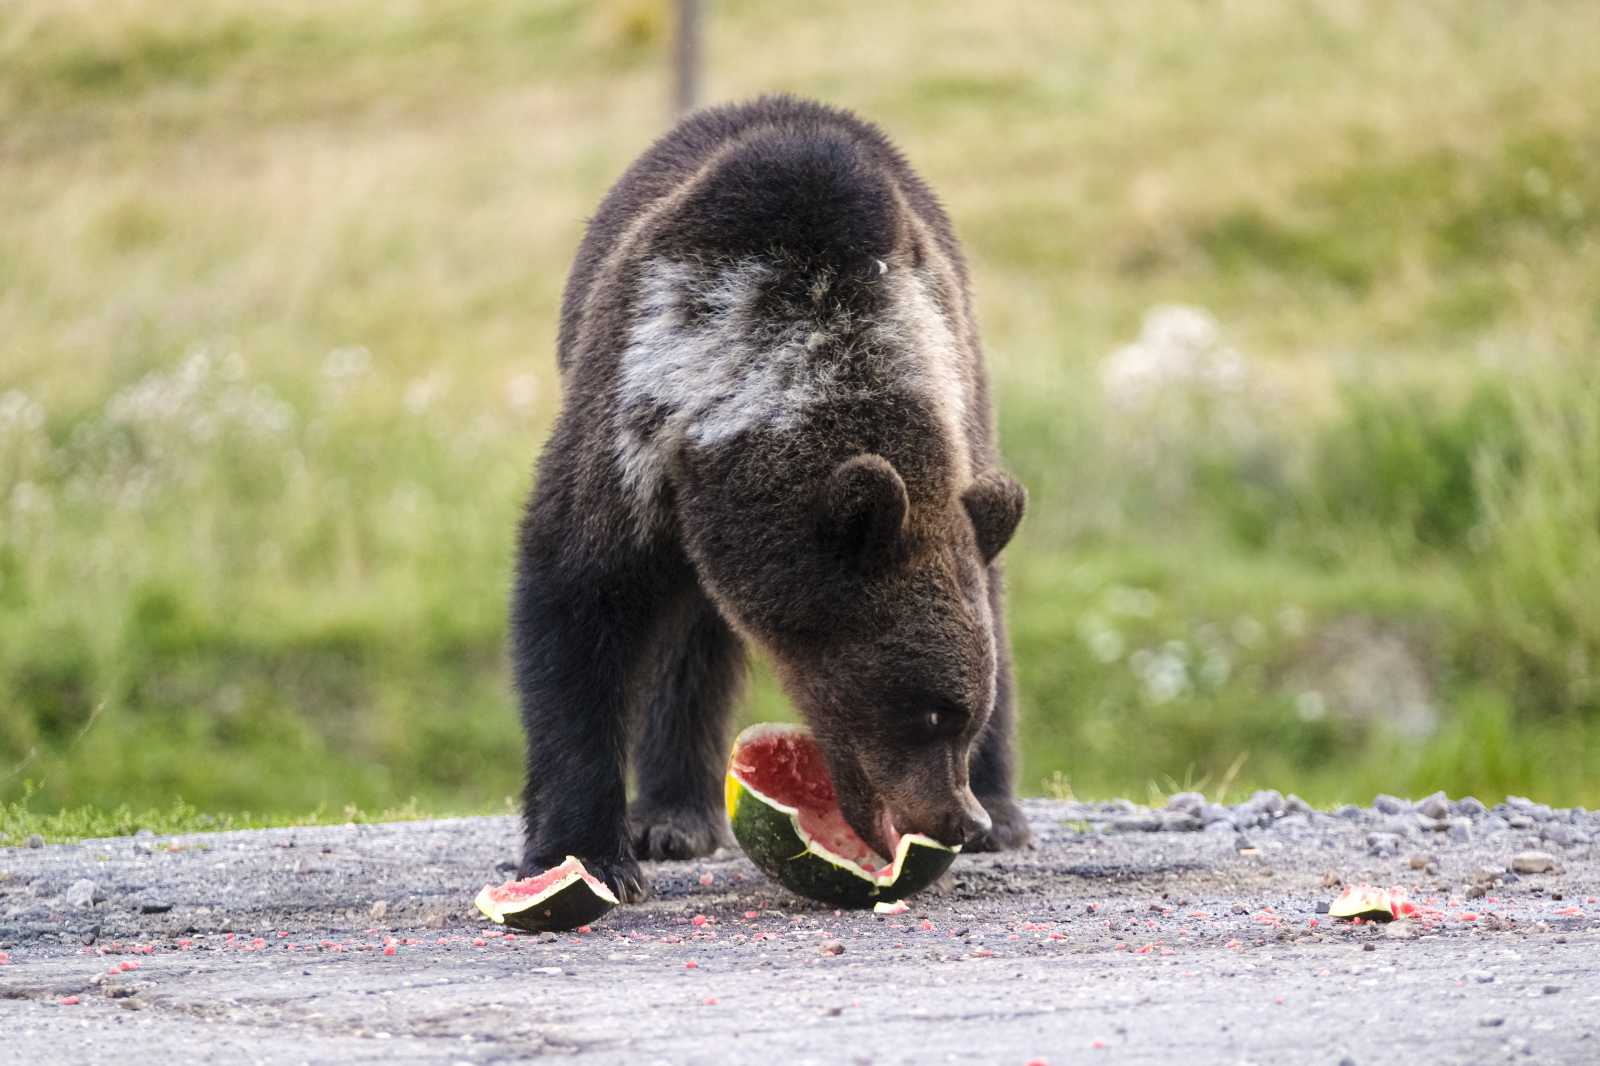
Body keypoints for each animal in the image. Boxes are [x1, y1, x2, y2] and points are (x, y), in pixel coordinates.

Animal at [515, 93, 1036, 896]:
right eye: (925, 712)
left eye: (962, 714)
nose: (959, 820)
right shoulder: (633, 421)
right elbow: (577, 598)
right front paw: (587, 851)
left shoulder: (951, 408)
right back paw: (672, 817)